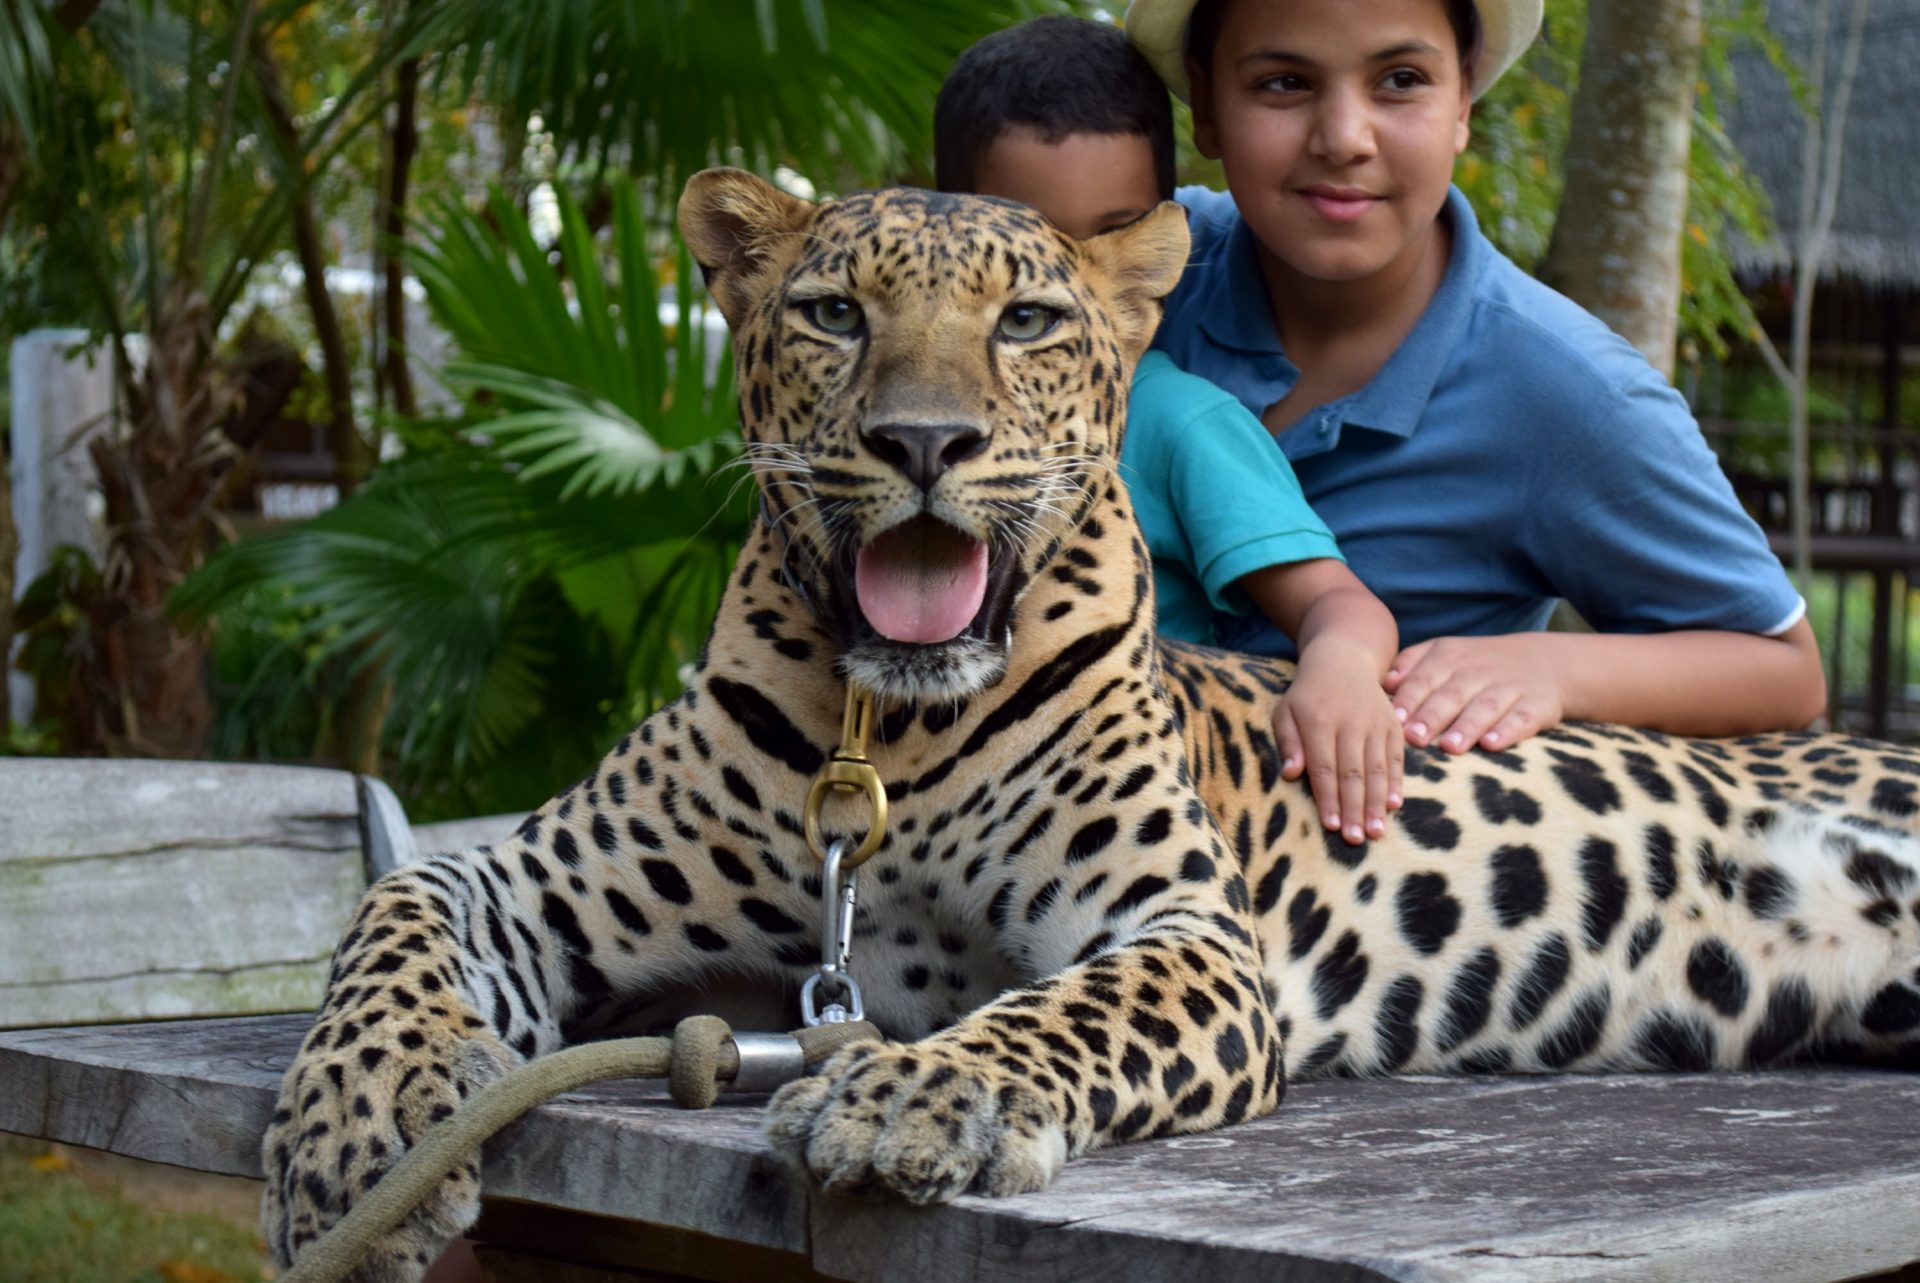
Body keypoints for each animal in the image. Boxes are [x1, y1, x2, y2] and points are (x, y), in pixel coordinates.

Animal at [263, 168, 1920, 1275]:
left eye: (1029, 320)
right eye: (833, 313)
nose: (923, 442)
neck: (890, 729)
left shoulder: (1184, 931)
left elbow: (1057, 1010)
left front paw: (914, 1091)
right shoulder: (532, 873)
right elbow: (392, 919)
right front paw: (359, 1124)